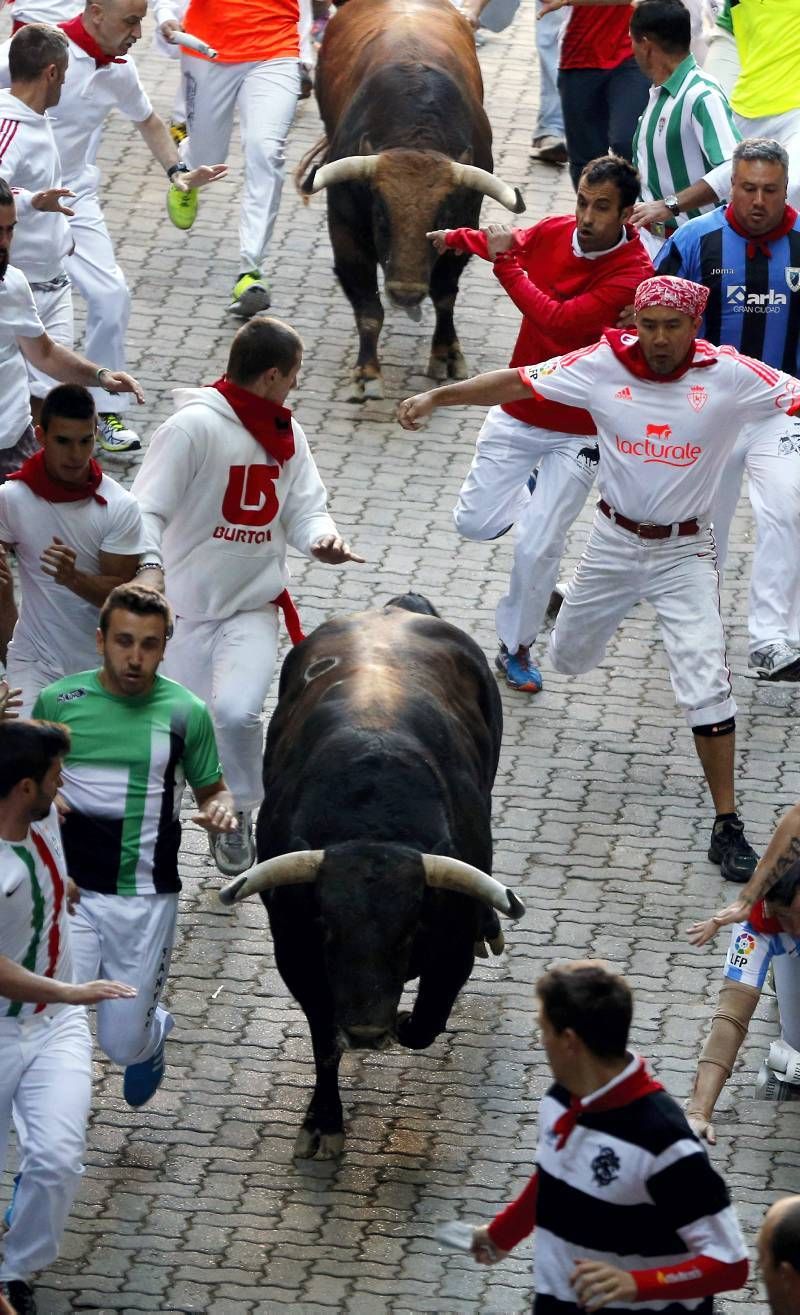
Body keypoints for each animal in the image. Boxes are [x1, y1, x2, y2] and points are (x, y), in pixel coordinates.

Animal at [218, 599, 526, 1162]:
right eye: (327, 927)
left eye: (410, 931)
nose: (364, 1031)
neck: (371, 815)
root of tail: (394, 610)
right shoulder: (297, 955)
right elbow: (323, 1042)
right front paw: (323, 1122)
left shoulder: (450, 952)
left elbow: (426, 1023)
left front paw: (403, 1023)